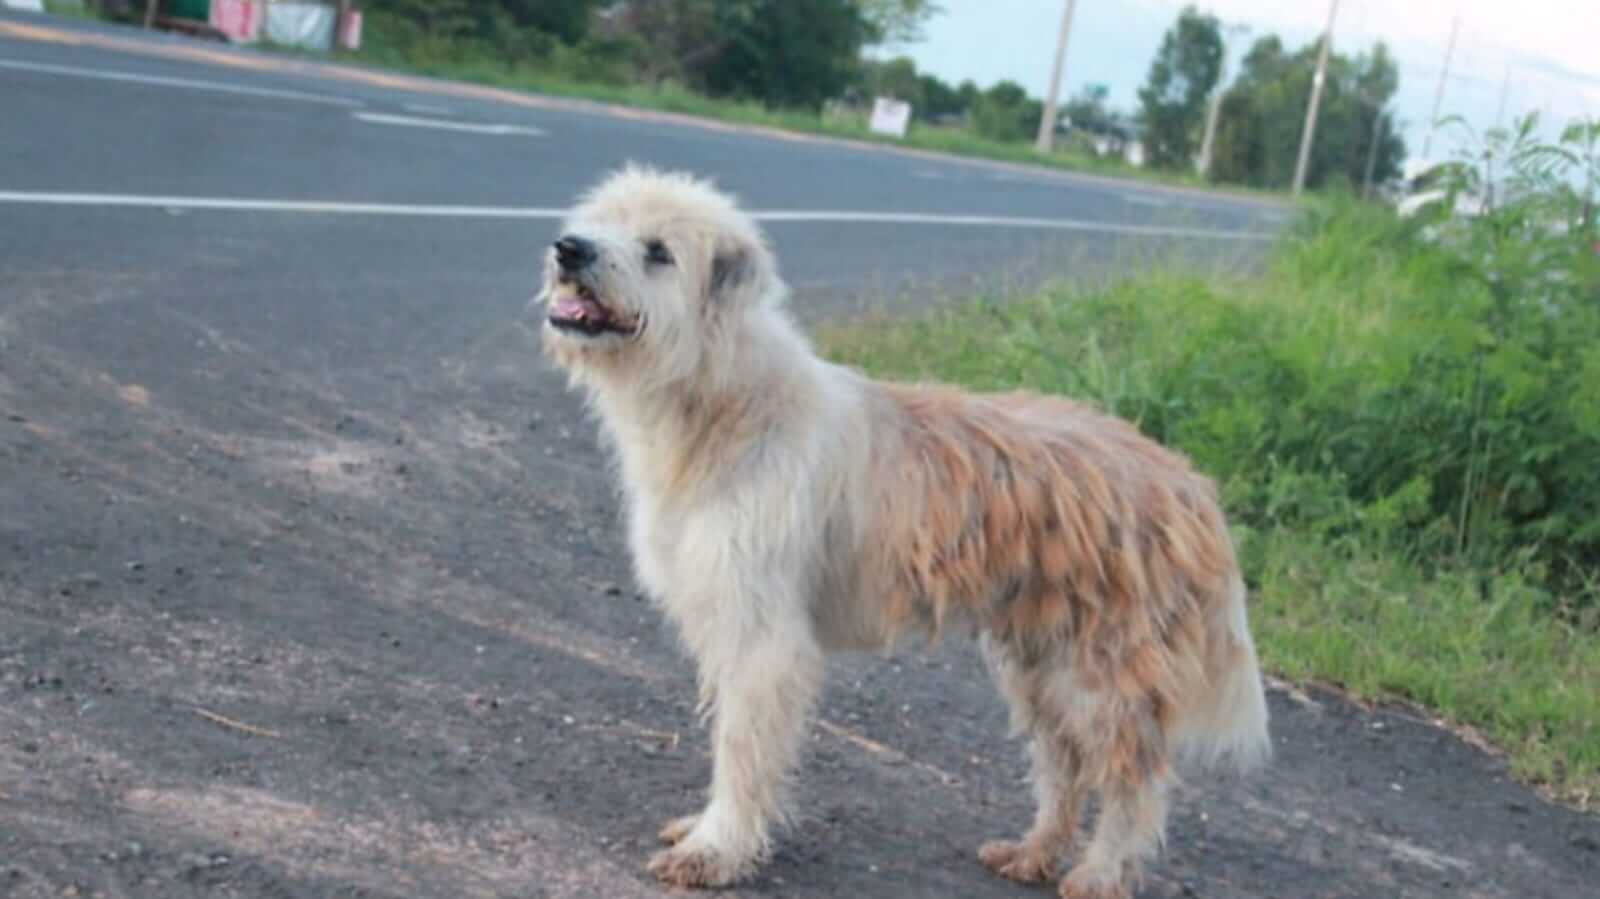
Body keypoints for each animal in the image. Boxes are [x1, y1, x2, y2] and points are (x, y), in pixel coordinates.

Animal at [537, 162, 1273, 895]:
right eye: (601, 219)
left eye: (658, 251)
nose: (568, 248)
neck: (725, 401)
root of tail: (1190, 487)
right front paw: (705, 830)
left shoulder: (764, 642)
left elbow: (741, 750)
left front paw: (716, 849)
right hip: (1042, 666)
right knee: (1064, 768)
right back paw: (1033, 851)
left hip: (1101, 677)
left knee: (1132, 782)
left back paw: (1098, 872)